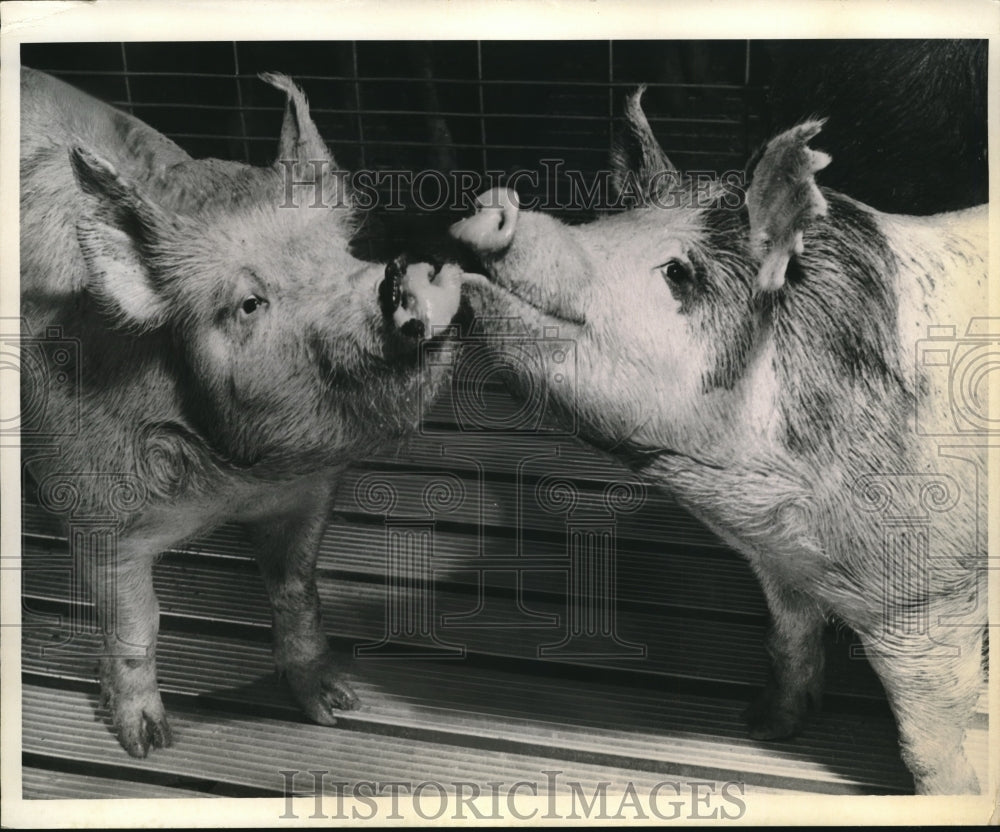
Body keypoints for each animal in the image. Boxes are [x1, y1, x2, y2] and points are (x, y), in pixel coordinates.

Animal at [19, 70, 464, 760]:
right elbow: (136, 623)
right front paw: (147, 742)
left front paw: (336, 707)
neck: (232, 482)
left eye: (348, 256)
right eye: (249, 303)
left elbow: (297, 589)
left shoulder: (309, 493)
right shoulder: (95, 512)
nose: (393, 281)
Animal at [456, 88, 992, 796]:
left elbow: (928, 740)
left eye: (679, 272)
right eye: (606, 224)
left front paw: (954, 797)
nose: (498, 206)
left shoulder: (934, 591)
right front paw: (765, 727)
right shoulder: (779, 565)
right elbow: (788, 641)